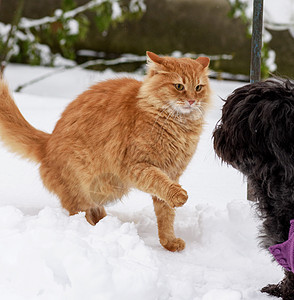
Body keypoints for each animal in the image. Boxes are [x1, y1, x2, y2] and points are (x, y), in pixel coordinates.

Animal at [0, 51, 210, 251]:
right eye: (179, 86)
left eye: (199, 88)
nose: (192, 101)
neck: (178, 126)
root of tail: (47, 142)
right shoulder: (138, 166)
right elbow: (160, 183)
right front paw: (180, 196)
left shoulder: (172, 173)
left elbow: (166, 214)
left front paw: (169, 242)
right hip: (81, 187)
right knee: (80, 213)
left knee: (95, 210)